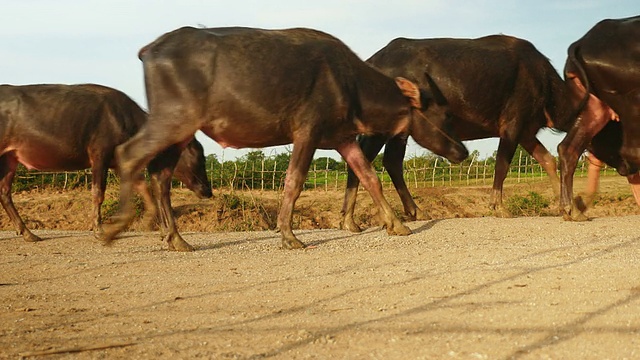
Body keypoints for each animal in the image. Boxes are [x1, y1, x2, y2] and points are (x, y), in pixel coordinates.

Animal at [0, 83, 214, 242]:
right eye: (197, 153)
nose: (208, 190)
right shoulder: (99, 154)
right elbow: (98, 193)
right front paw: (99, 230)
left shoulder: (118, 161)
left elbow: (142, 187)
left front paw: (151, 222)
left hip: (10, 157)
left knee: (4, 192)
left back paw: (28, 233)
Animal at [101, 26, 470, 252]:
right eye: (446, 115)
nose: (463, 151)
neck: (350, 85)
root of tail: (150, 50)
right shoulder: (306, 132)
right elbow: (294, 181)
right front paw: (289, 235)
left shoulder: (342, 137)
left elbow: (369, 176)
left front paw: (395, 223)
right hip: (172, 120)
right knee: (129, 155)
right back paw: (117, 226)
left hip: (181, 131)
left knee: (160, 174)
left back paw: (175, 238)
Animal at [340, 35, 580, 232]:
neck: (548, 88)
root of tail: (371, 61)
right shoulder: (512, 125)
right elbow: (502, 165)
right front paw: (498, 207)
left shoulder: (526, 131)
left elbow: (548, 160)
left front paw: (565, 206)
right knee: (366, 159)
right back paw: (351, 220)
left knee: (390, 161)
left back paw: (412, 211)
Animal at [556, 16, 640, 219]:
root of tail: (580, 42)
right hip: (630, 98)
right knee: (633, 152)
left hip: (595, 109)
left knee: (567, 148)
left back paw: (572, 209)